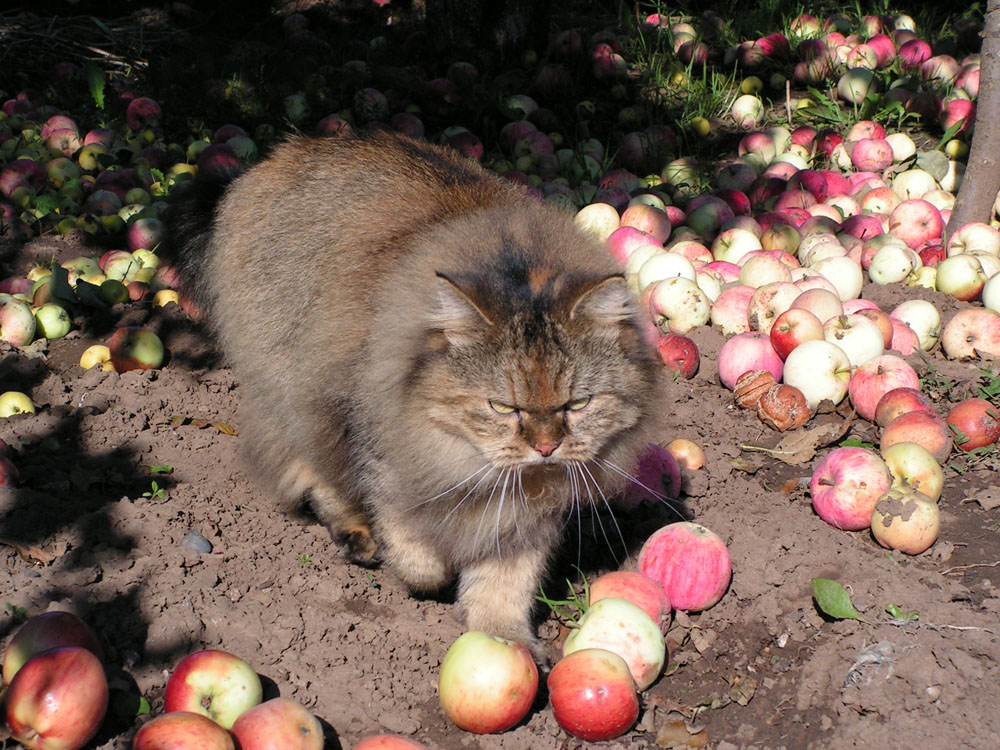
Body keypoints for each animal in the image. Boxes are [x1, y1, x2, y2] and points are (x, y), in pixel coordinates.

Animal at [164, 132, 668, 660]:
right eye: (503, 407)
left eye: (577, 405)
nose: (546, 447)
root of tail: (275, 158)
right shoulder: (382, 450)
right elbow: (417, 555)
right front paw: (424, 573)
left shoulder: (526, 519)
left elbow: (505, 585)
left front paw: (504, 639)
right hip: (293, 391)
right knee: (315, 473)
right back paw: (357, 535)